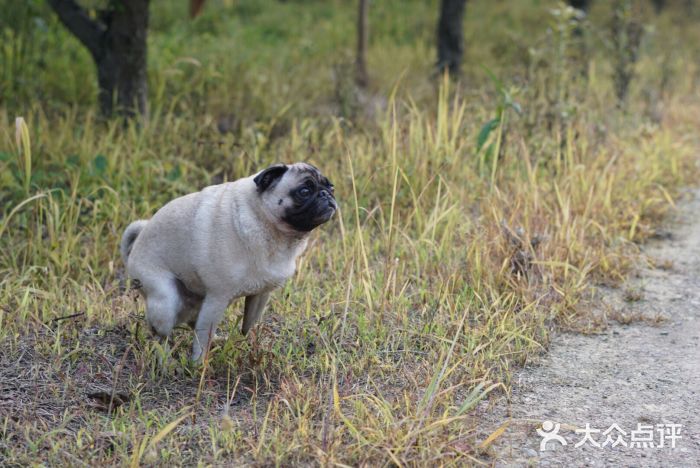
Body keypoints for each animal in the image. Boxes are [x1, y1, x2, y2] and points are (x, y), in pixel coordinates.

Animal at [119, 162, 336, 362]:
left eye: (331, 187)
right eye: (304, 191)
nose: (326, 194)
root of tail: (137, 241)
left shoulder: (260, 295)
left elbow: (249, 324)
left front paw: (248, 343)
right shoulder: (217, 297)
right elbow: (202, 339)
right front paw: (198, 366)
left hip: (199, 301)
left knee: (194, 324)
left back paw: (216, 340)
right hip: (166, 300)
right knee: (161, 336)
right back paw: (167, 362)